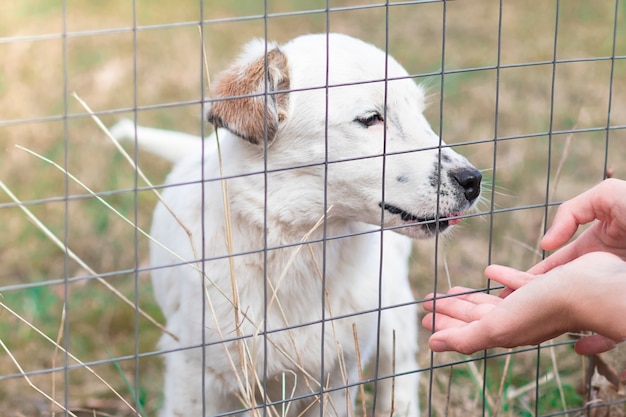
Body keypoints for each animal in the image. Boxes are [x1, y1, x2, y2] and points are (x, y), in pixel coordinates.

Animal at [111, 34, 478, 416]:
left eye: (420, 113)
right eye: (371, 119)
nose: (474, 181)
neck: (299, 245)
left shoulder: (338, 374)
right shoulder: (196, 375)